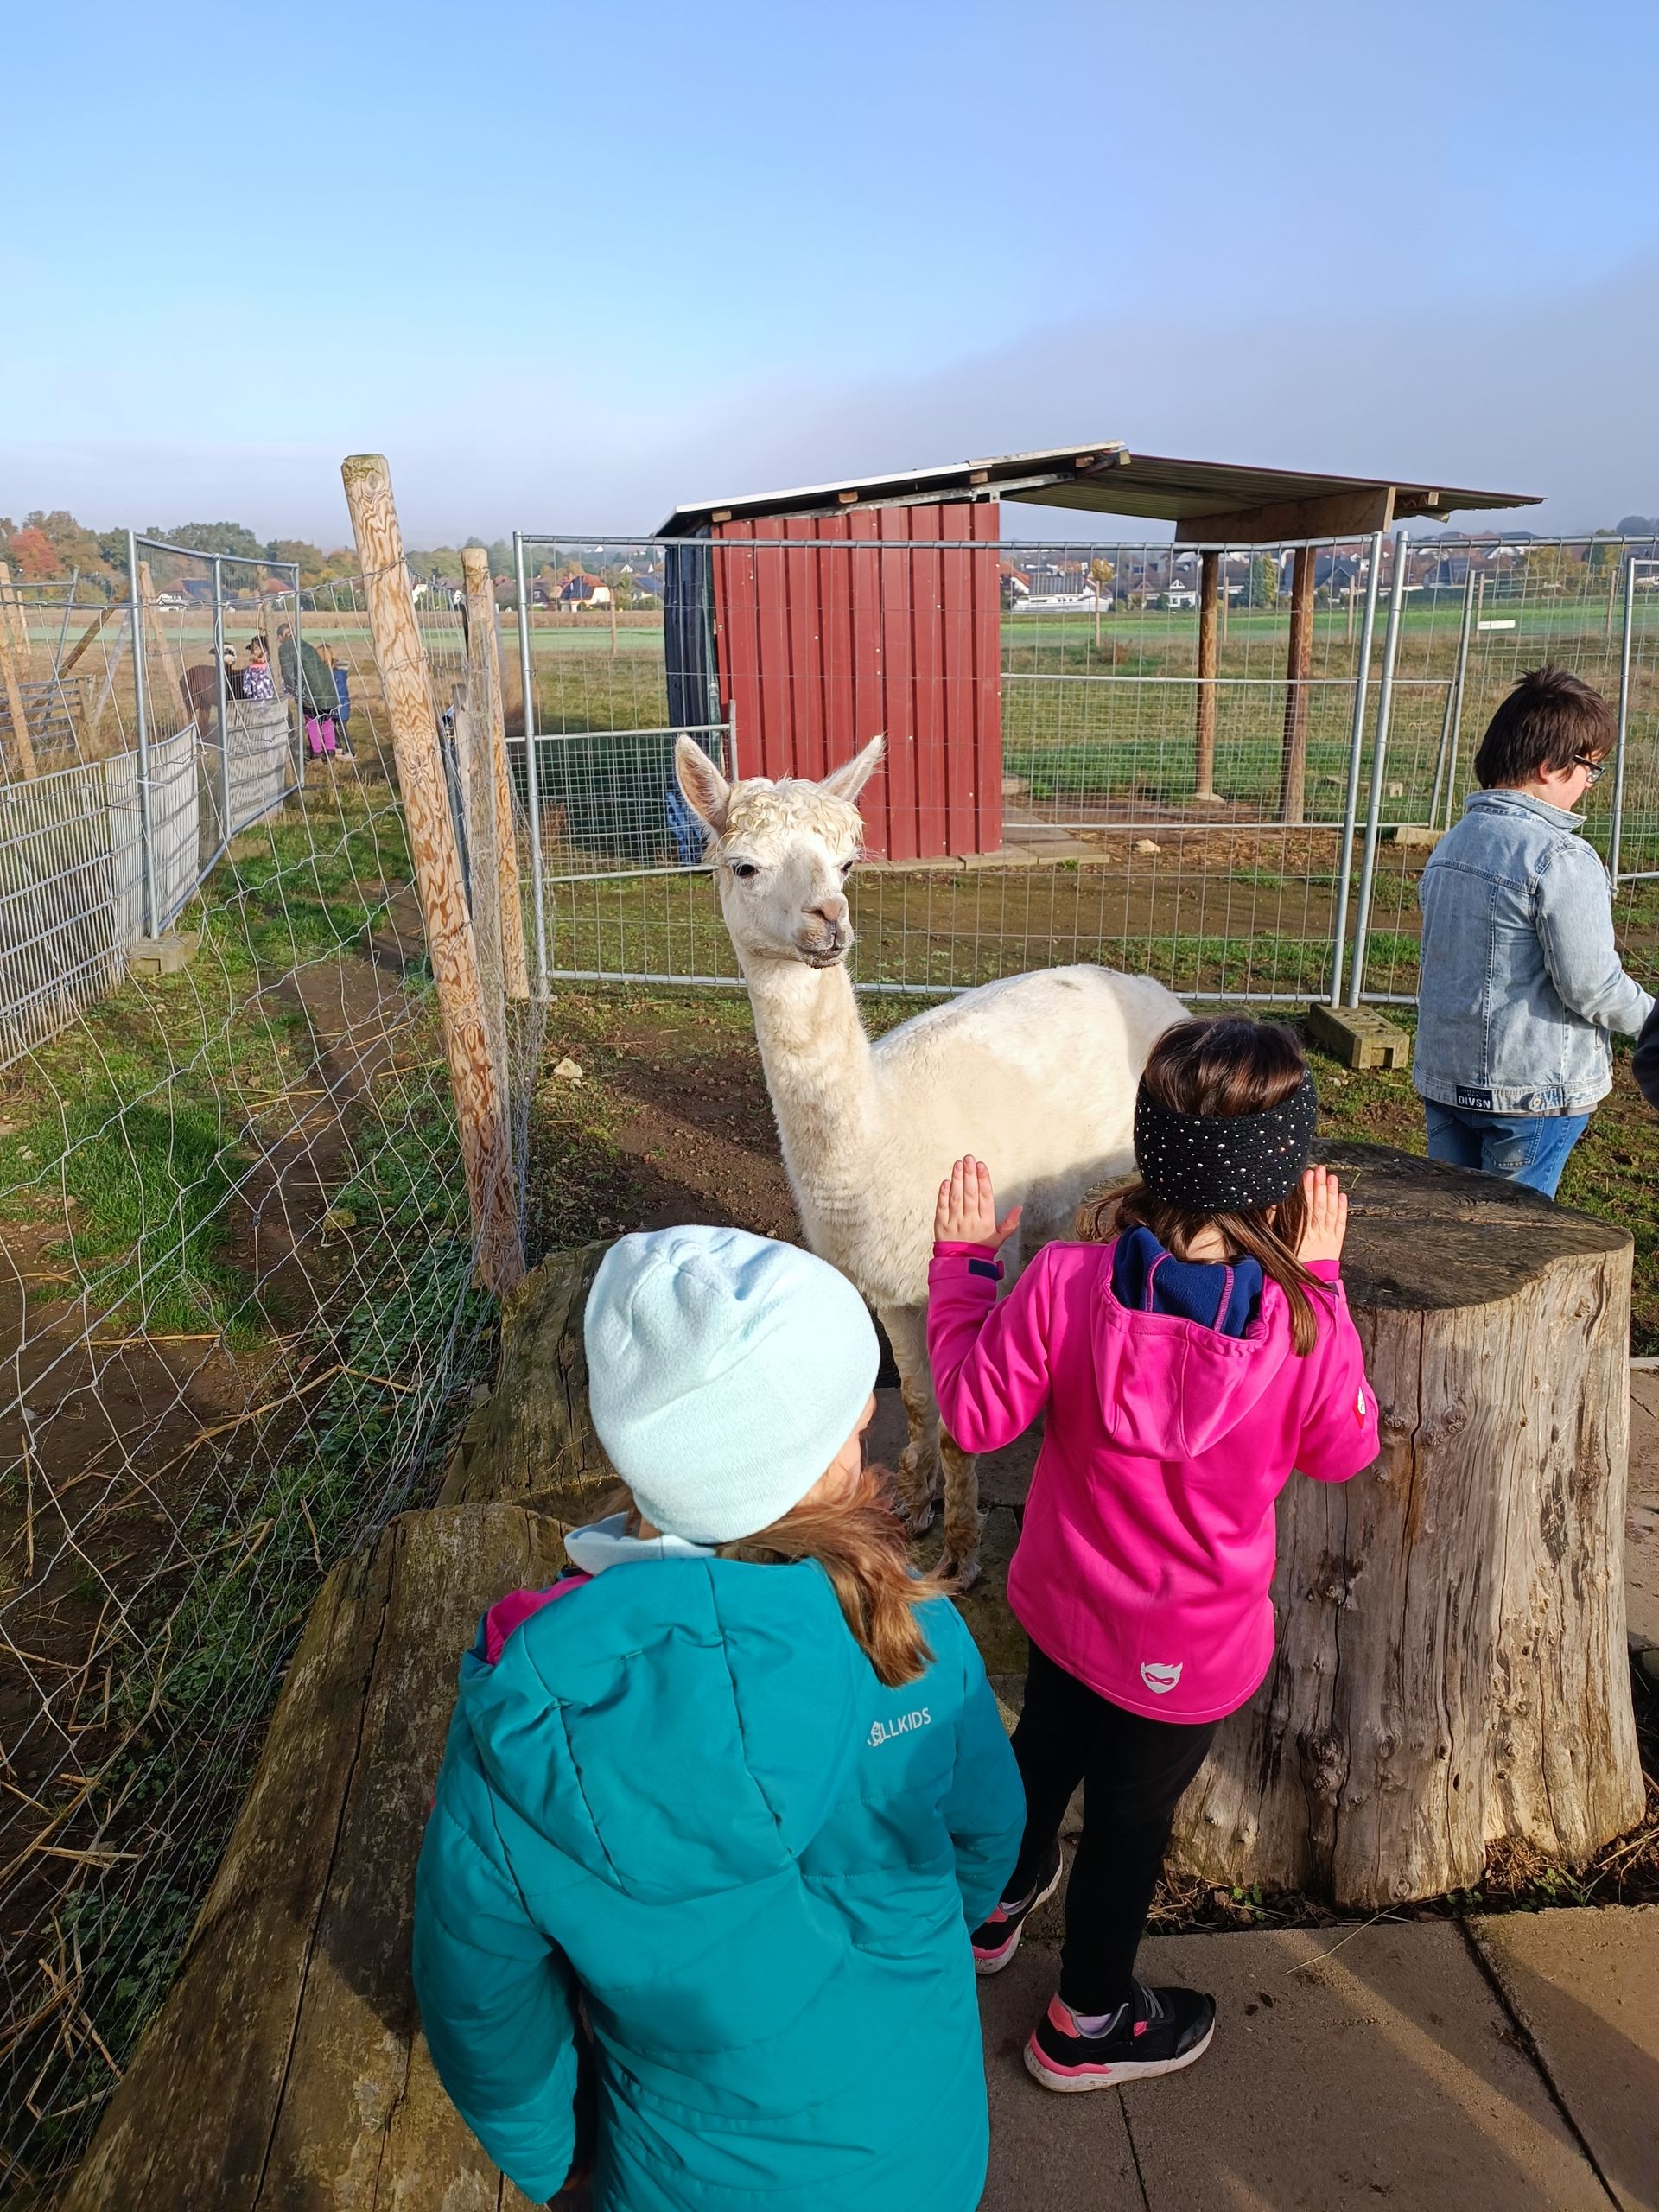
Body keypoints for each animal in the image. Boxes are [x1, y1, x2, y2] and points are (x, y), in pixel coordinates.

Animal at [673, 733, 1187, 1586]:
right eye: (743, 865)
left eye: (847, 863)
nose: (829, 921)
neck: (879, 1152)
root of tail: (1154, 989)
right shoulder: (889, 1288)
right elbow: (917, 1402)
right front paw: (912, 1508)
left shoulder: (960, 1267)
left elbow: (956, 1425)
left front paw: (961, 1556)